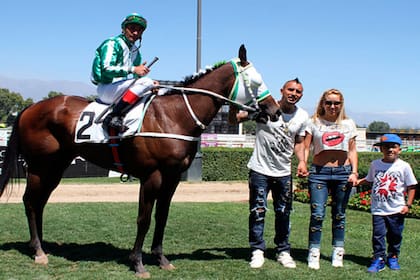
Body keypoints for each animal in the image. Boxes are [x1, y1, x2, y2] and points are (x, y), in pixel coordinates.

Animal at [0, 44, 278, 278]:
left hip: (55, 167)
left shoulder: (172, 178)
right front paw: (138, 263)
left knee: (39, 202)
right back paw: (38, 251)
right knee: (30, 201)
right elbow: (143, 219)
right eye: (256, 81)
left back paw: (39, 245)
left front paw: (161, 259)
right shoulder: (151, 175)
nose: (275, 111)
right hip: (40, 166)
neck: (174, 115)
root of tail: (30, 108)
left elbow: (162, 216)